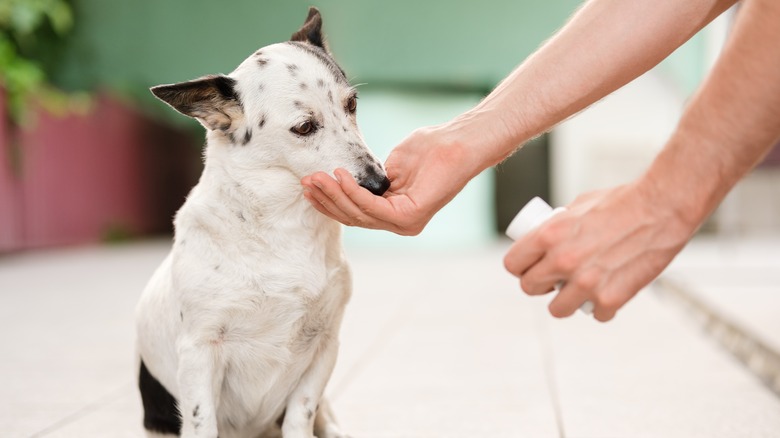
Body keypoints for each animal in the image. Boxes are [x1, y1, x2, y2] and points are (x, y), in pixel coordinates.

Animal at [137, 7, 390, 438]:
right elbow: (201, 419)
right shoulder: (199, 352)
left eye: (352, 104)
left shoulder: (324, 347)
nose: (380, 185)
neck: (281, 226)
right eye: (304, 127)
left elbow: (301, 414)